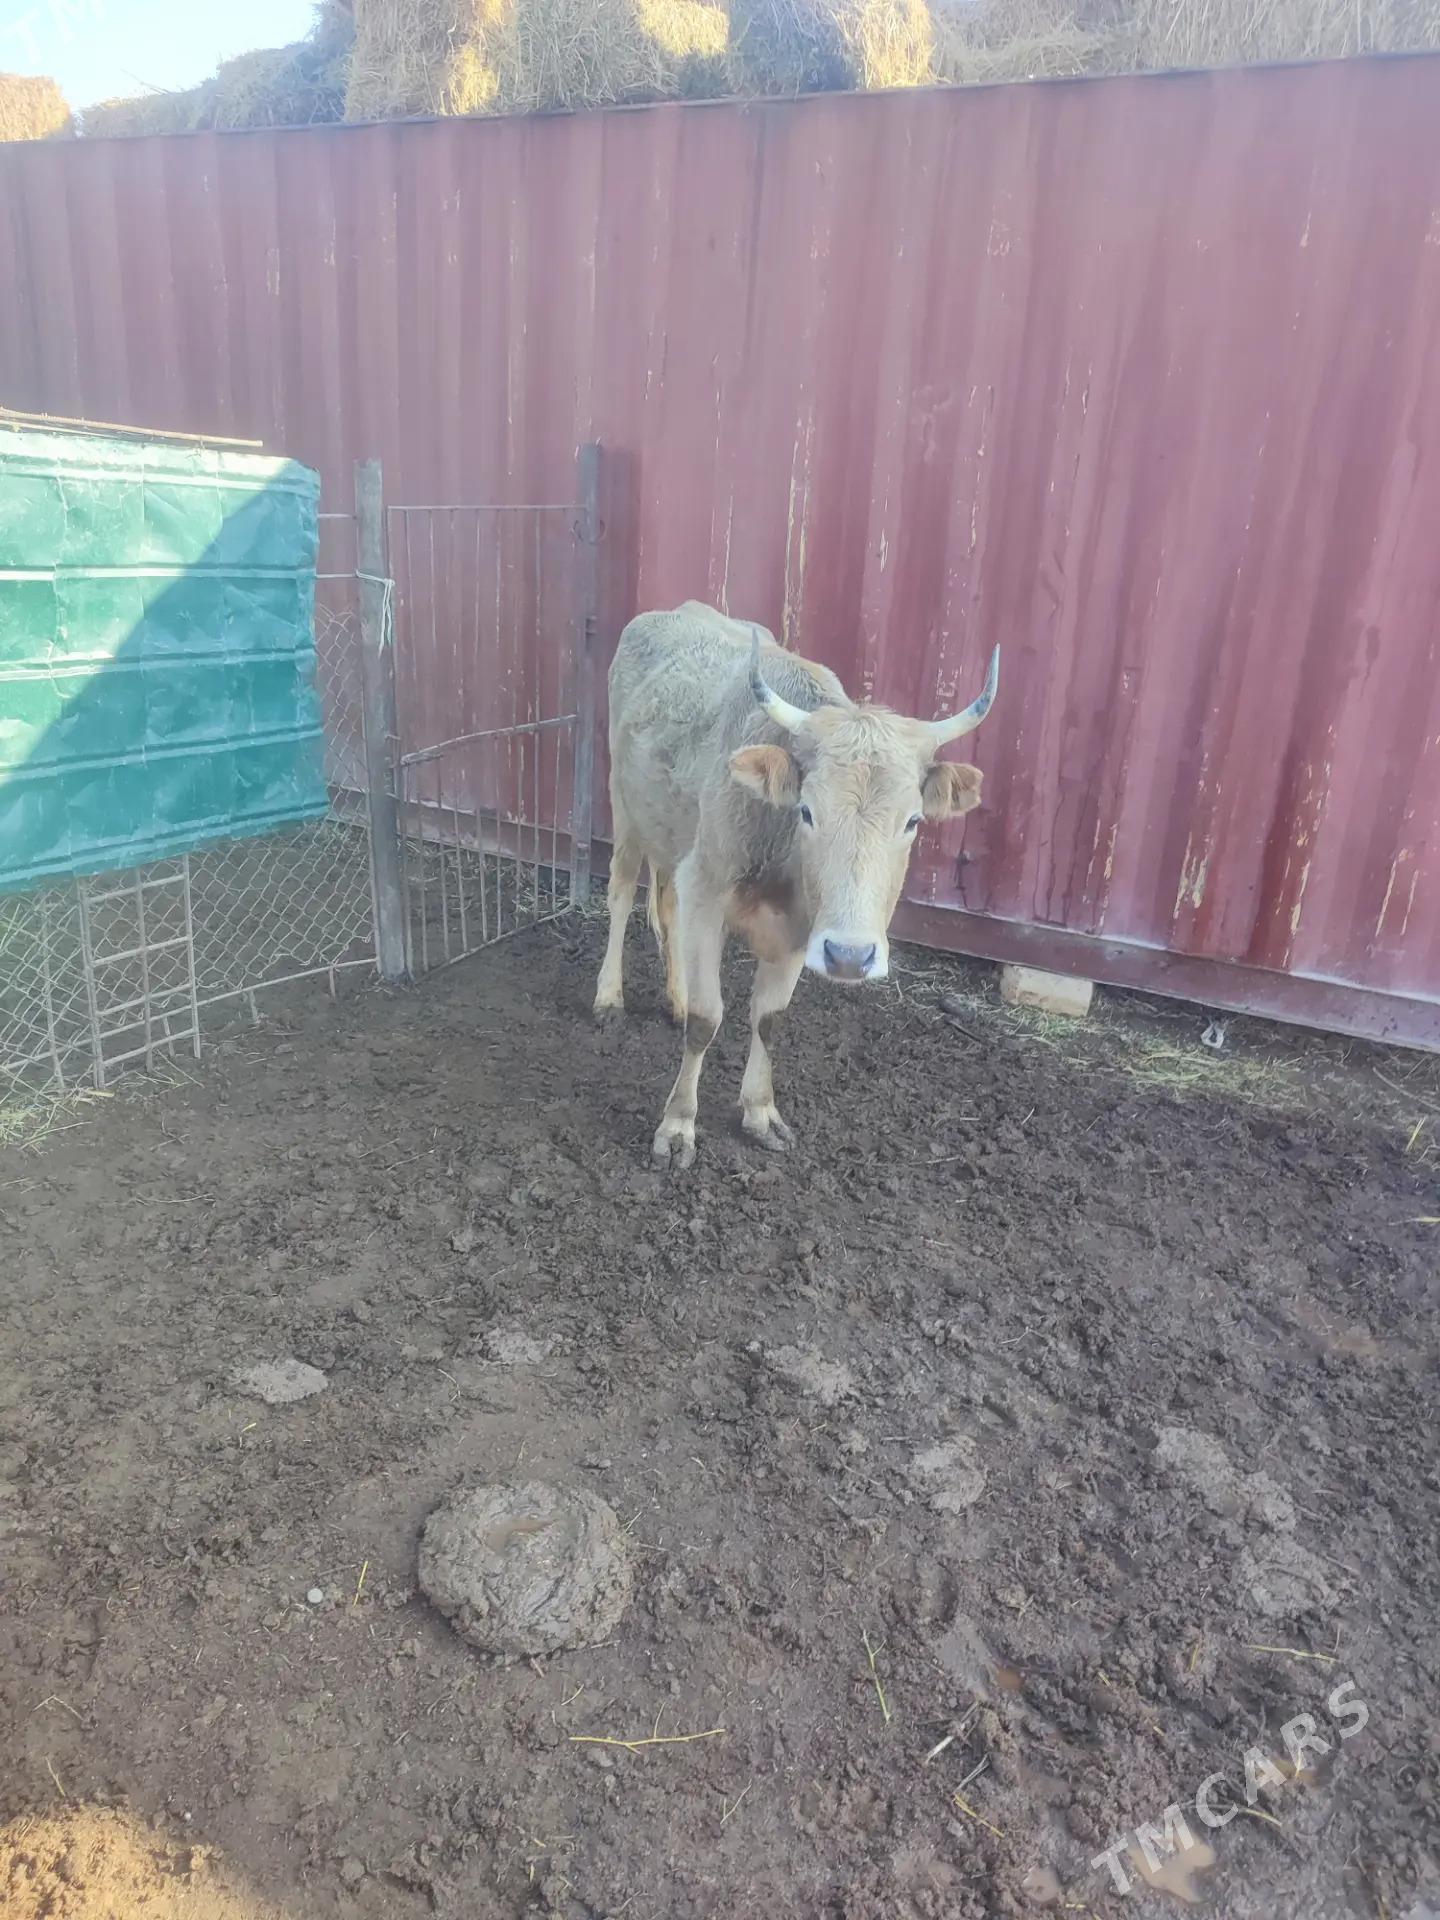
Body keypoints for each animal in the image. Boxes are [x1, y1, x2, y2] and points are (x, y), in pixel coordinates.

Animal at [593, 602, 999, 1168]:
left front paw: (760, 1113)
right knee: (622, 892)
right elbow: (707, 1018)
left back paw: (673, 997)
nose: (851, 956)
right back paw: (609, 997)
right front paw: (677, 1127)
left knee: (667, 908)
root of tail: (671, 612)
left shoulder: (799, 927)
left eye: (913, 821)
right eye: (807, 811)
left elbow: (770, 1019)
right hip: (625, 806)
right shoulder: (707, 891)